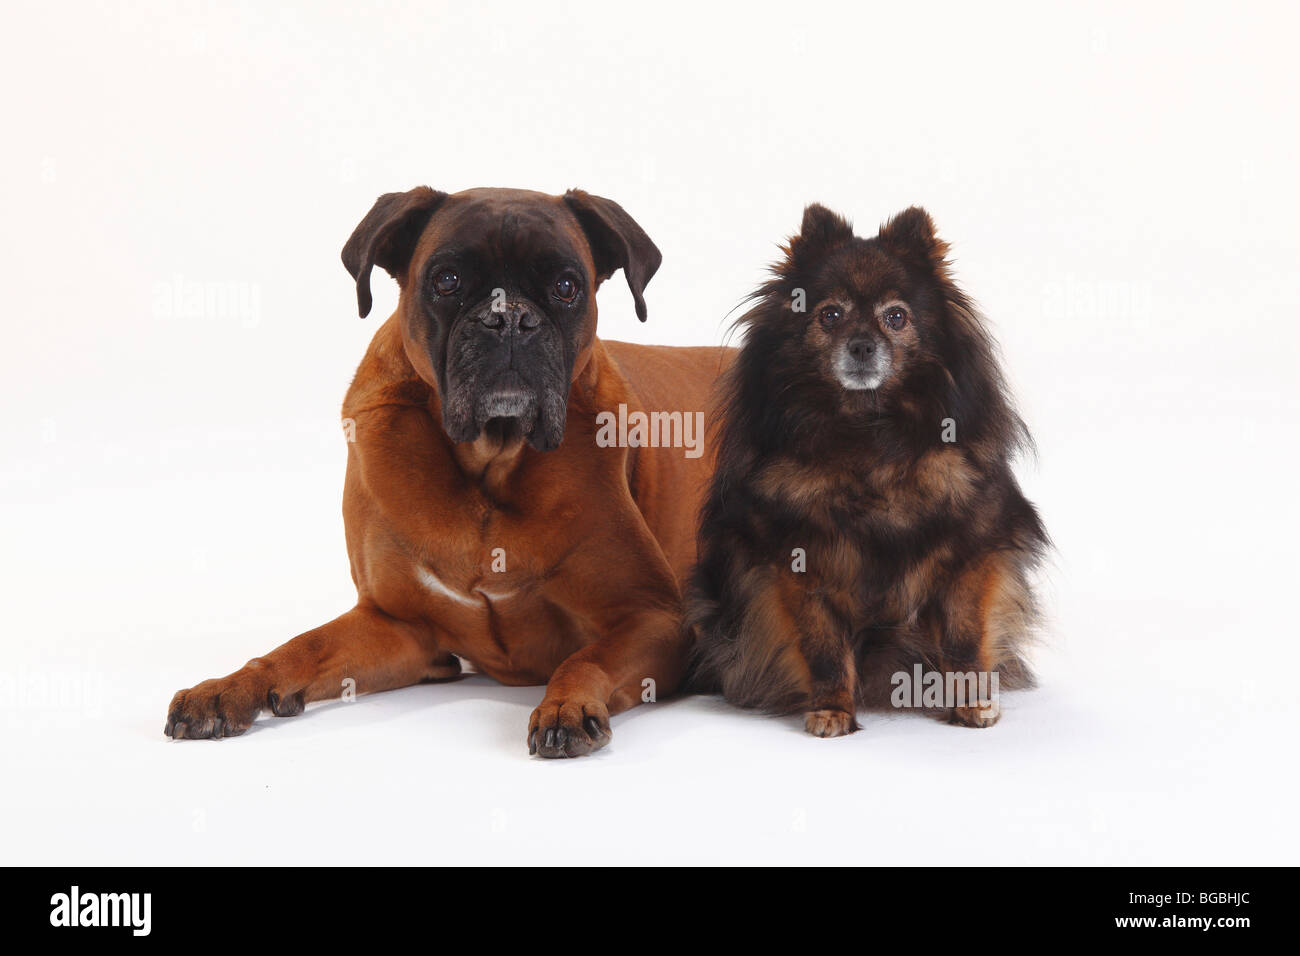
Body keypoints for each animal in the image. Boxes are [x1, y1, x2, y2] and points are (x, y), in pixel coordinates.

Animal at [165, 184, 733, 754]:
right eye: (447, 280)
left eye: (566, 287)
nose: (510, 318)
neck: (489, 463)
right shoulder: (397, 627)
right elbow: (301, 647)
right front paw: (229, 688)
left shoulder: (654, 617)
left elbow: (586, 658)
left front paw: (567, 704)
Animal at [691, 205, 1045, 738]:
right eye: (830, 315)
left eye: (895, 317)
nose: (861, 346)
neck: (869, 433)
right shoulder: (800, 565)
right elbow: (823, 648)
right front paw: (833, 709)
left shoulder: (969, 555)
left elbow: (964, 638)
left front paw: (971, 702)